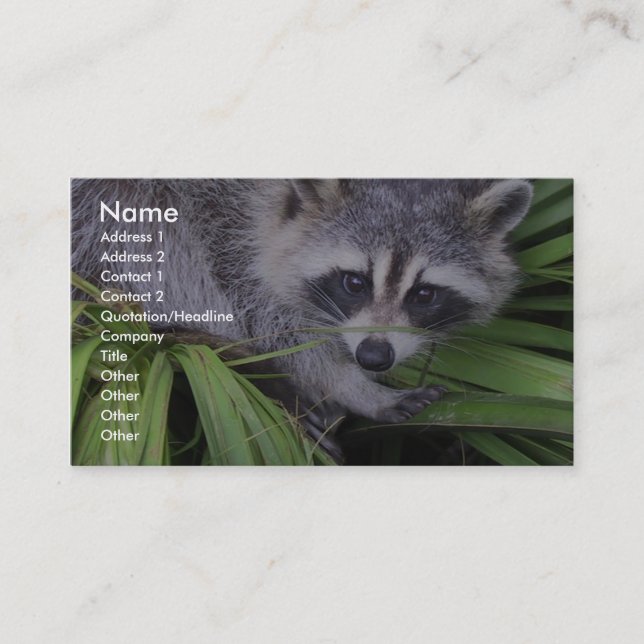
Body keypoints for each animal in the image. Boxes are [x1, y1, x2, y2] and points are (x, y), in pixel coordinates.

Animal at [71, 179, 532, 460]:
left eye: (424, 294)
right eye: (354, 282)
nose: (373, 357)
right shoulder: (223, 223)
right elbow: (276, 326)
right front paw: (352, 386)